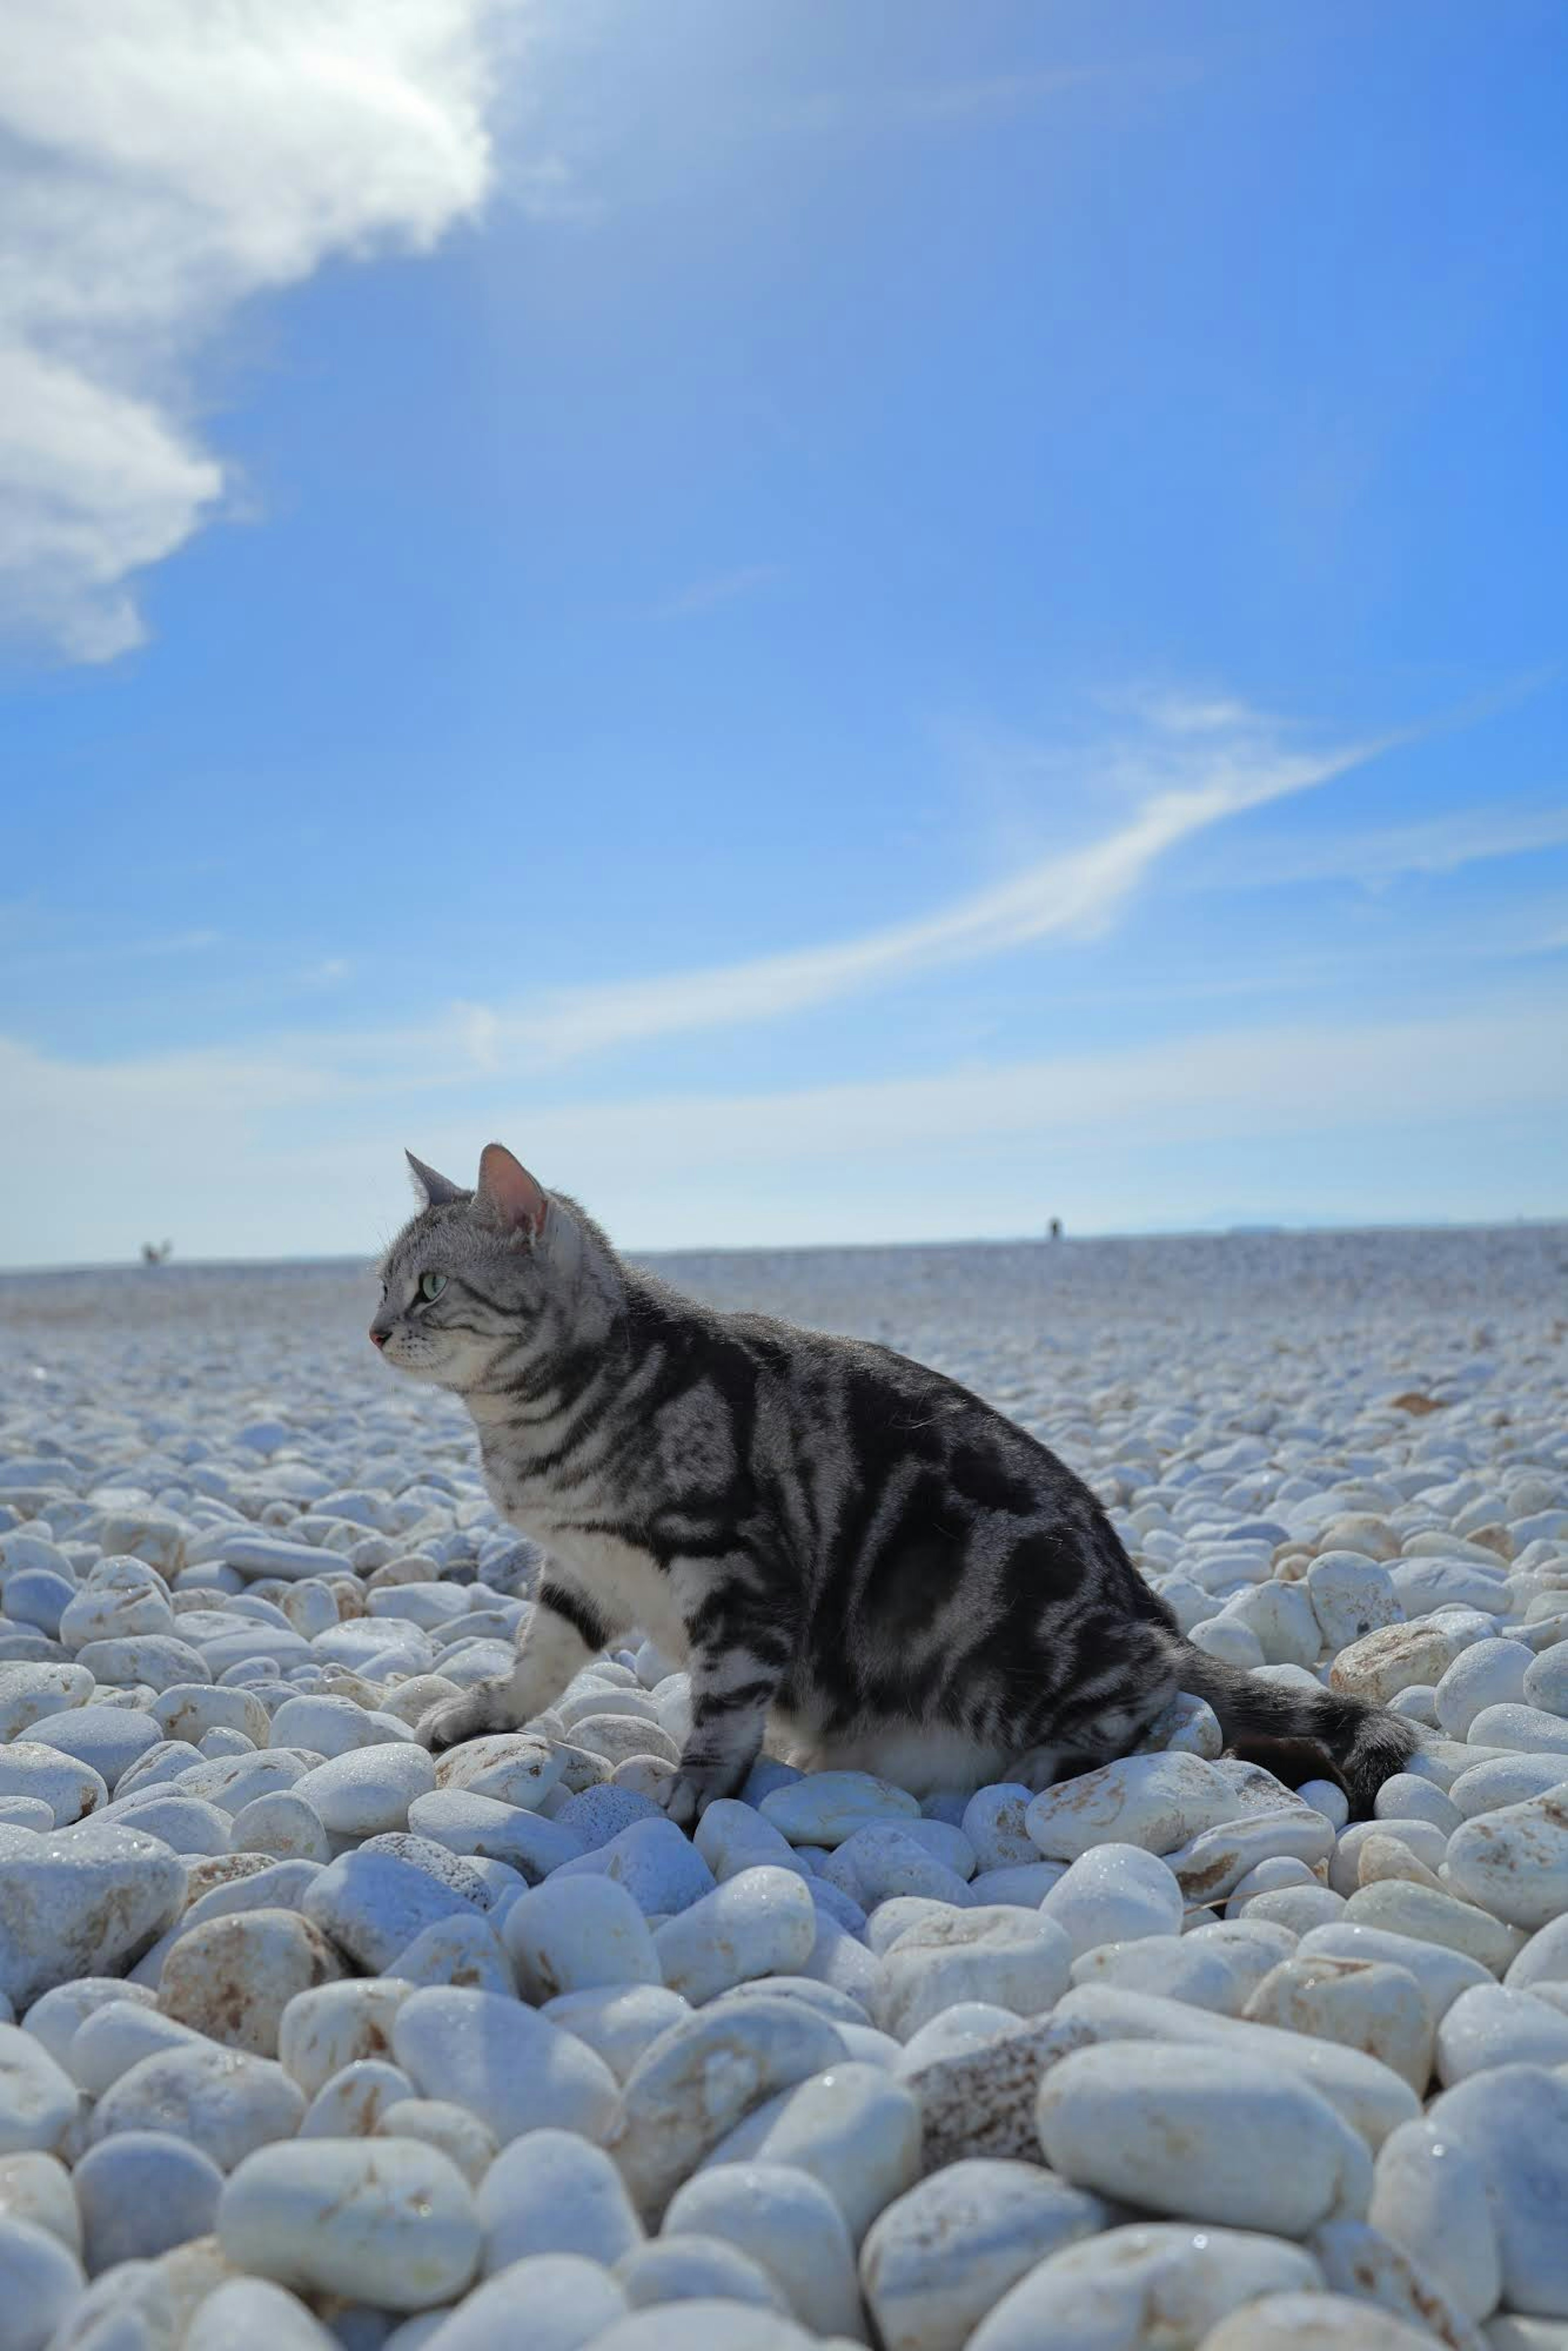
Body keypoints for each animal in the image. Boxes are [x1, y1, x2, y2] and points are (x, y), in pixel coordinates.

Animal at [371, 1133, 1420, 1815]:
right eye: (378, 1283)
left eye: (429, 1287)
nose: (375, 1330)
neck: (529, 1427)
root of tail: (1146, 1600)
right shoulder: (582, 1571)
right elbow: (534, 1664)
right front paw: (476, 1717)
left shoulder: (738, 1573)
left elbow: (723, 1710)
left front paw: (693, 1794)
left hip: (1010, 1629)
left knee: (1159, 1691)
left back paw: (1037, 1770)